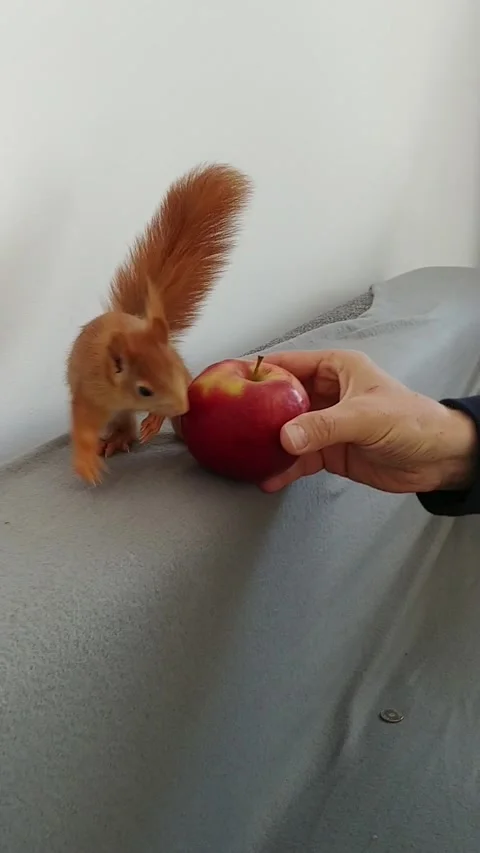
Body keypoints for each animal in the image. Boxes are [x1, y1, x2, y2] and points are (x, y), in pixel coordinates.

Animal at [67, 163, 252, 485]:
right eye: (144, 391)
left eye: (176, 368)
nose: (183, 406)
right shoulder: (90, 394)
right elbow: (83, 428)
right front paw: (86, 464)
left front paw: (155, 422)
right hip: (117, 413)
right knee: (124, 424)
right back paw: (118, 439)